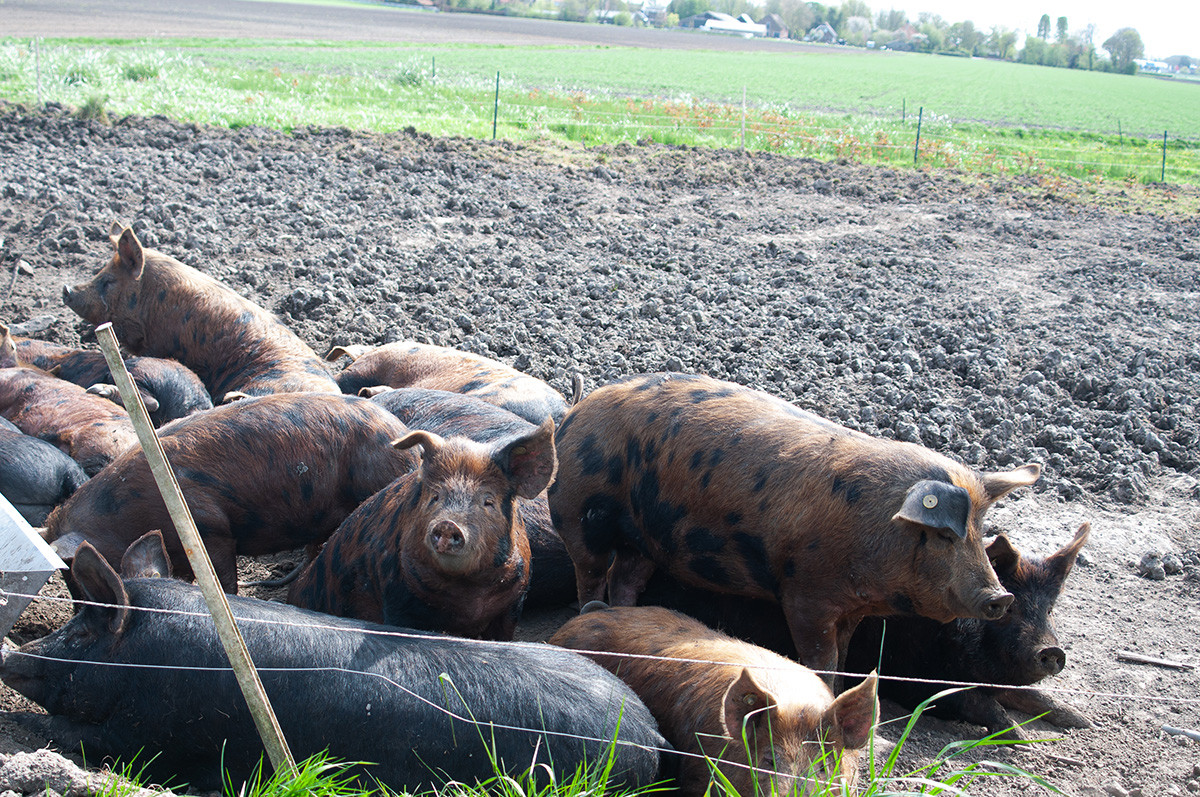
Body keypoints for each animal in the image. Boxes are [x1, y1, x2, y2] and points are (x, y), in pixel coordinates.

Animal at [0, 532, 670, 792]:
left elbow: (72, 734)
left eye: (79, 633)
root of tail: (650, 736)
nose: (12, 655)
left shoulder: (150, 734)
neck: (146, 660)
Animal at [62, 223, 339, 402]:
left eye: (108, 281)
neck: (152, 301)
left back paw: (97, 391)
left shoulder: (160, 345)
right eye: (99, 272)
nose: (66, 289)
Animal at [288, 419, 557, 640]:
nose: (448, 524)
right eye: (435, 496)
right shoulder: (397, 599)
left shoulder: (514, 603)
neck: (467, 591)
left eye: (488, 501)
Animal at [548, 372, 1032, 683]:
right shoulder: (804, 594)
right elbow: (821, 658)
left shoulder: (851, 608)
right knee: (590, 575)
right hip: (580, 514)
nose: (1001, 596)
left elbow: (843, 655)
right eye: (944, 534)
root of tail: (576, 412)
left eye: (980, 530)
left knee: (625, 577)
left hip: (644, 542)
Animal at [844, 523, 1093, 738]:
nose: (1051, 650)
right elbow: (975, 700)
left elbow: (1032, 694)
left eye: (1049, 610)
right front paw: (1022, 739)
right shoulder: (908, 678)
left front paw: (1084, 721)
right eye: (1010, 608)